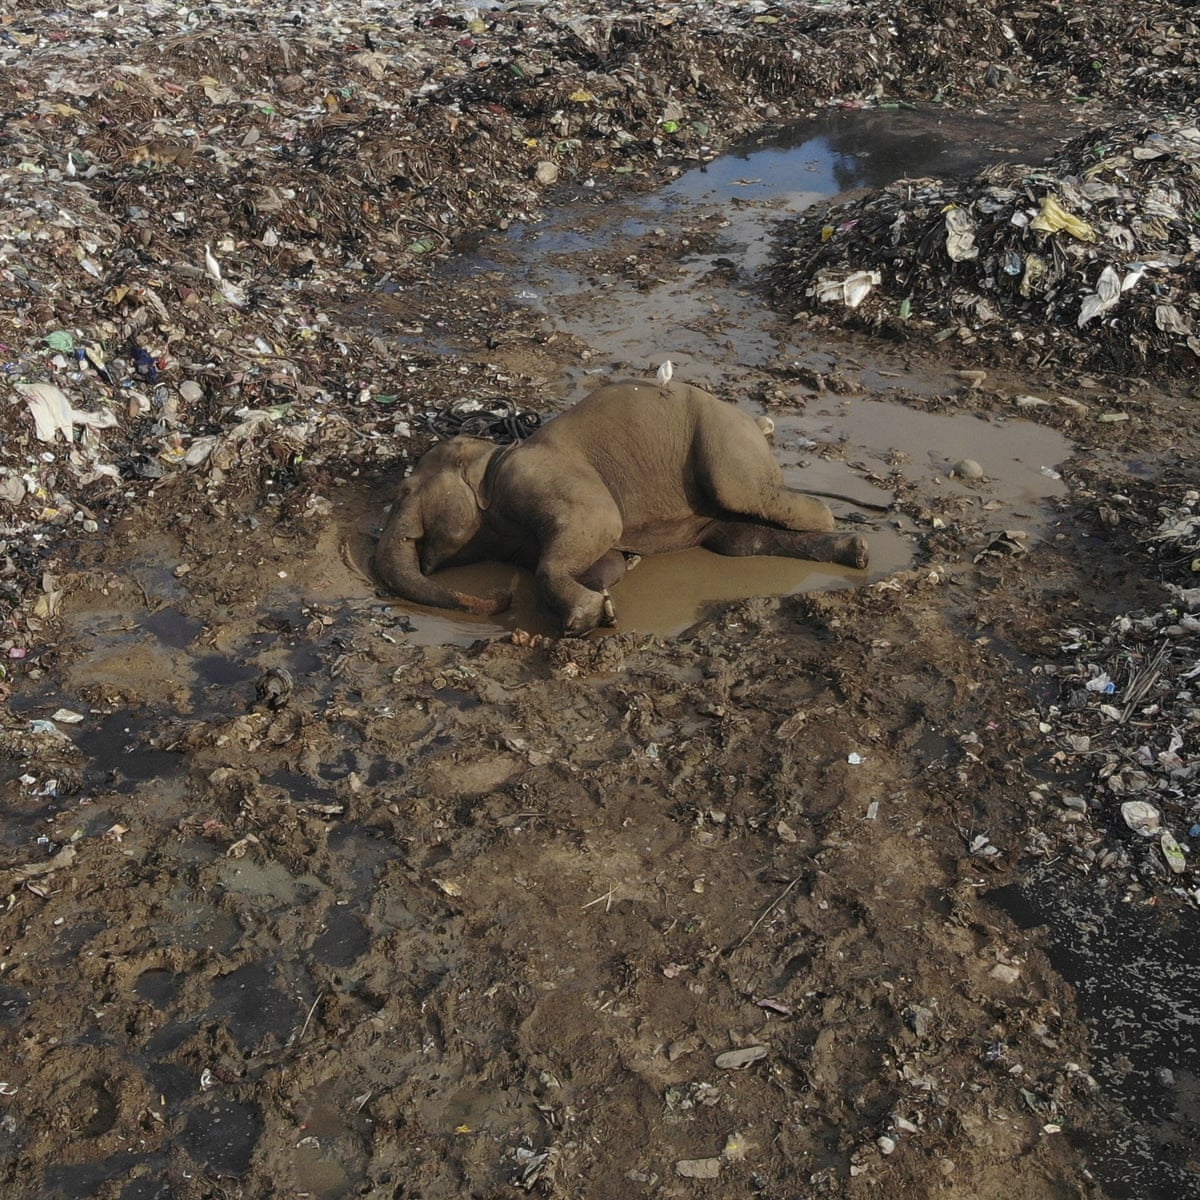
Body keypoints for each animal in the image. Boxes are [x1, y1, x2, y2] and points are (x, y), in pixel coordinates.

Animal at [375, 379, 868, 636]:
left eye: (403, 492)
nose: (502, 597)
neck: (493, 453)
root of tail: (755, 422)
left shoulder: (537, 476)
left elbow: (601, 523)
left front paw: (587, 619)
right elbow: (604, 556)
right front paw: (609, 595)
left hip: (724, 436)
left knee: (744, 492)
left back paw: (832, 521)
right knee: (740, 540)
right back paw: (855, 549)